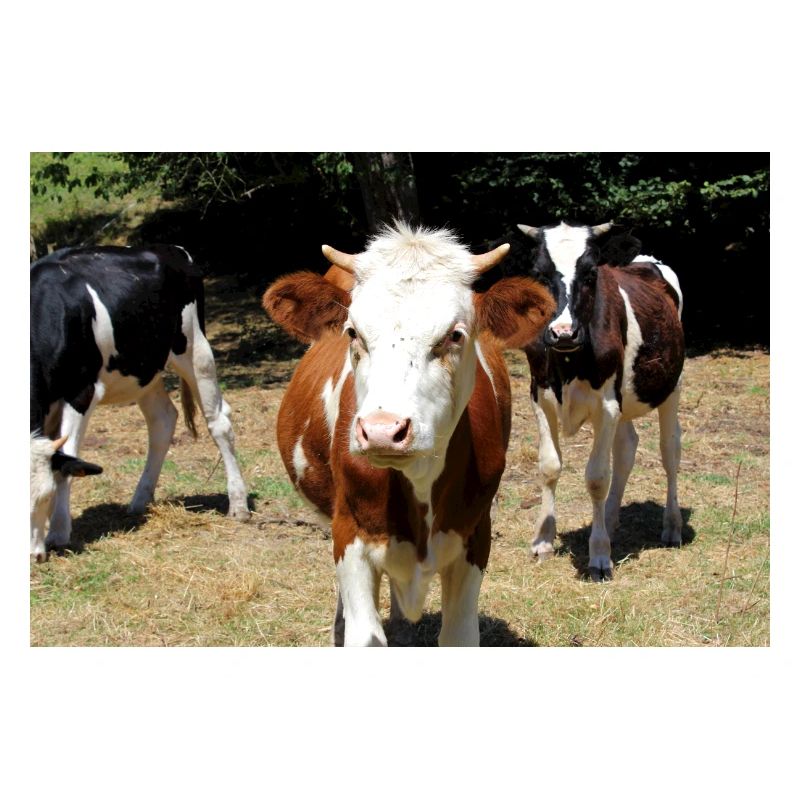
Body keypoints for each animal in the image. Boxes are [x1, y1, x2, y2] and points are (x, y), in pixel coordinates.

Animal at [30, 244, 250, 559]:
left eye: (44, 496)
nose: (31, 555)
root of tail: (173, 250)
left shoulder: (82, 393)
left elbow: (67, 462)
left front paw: (59, 531)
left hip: (195, 349)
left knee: (219, 422)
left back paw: (239, 504)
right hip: (146, 370)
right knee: (163, 419)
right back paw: (140, 499)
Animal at [263, 223, 554, 646]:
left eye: (455, 335)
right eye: (353, 332)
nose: (383, 431)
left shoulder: (475, 535)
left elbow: (458, 635)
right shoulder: (349, 535)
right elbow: (365, 635)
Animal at [515, 221, 685, 581]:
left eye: (591, 273)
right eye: (538, 273)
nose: (563, 332)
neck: (568, 360)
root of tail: (645, 261)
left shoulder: (606, 404)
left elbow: (596, 477)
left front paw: (599, 556)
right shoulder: (540, 396)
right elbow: (549, 467)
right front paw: (543, 541)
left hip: (671, 387)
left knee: (670, 451)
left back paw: (672, 526)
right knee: (627, 447)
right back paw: (608, 518)